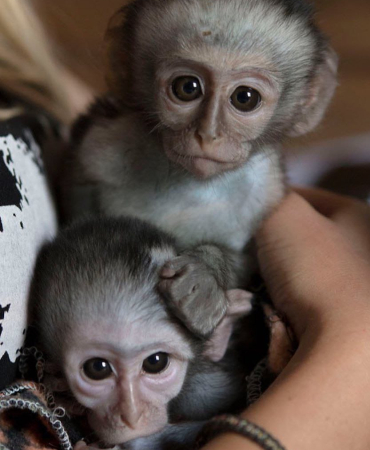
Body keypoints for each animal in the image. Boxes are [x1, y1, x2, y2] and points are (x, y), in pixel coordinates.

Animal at [62, 0, 336, 338]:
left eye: (245, 98)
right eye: (187, 88)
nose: (207, 135)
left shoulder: (266, 189)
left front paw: (206, 273)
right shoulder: (103, 144)